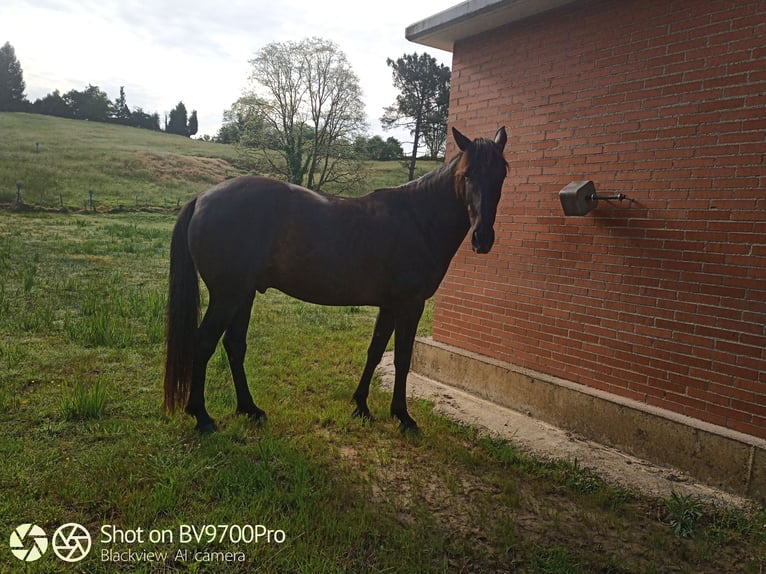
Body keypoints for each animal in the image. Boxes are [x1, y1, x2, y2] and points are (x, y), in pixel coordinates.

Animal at [164, 126, 510, 432]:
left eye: (501, 175)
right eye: (467, 174)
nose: (483, 238)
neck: (418, 219)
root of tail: (202, 198)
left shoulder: (390, 305)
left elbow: (375, 351)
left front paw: (361, 406)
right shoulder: (410, 305)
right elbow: (402, 358)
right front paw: (403, 416)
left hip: (244, 294)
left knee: (234, 346)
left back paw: (250, 409)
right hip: (228, 295)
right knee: (204, 343)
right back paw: (202, 416)